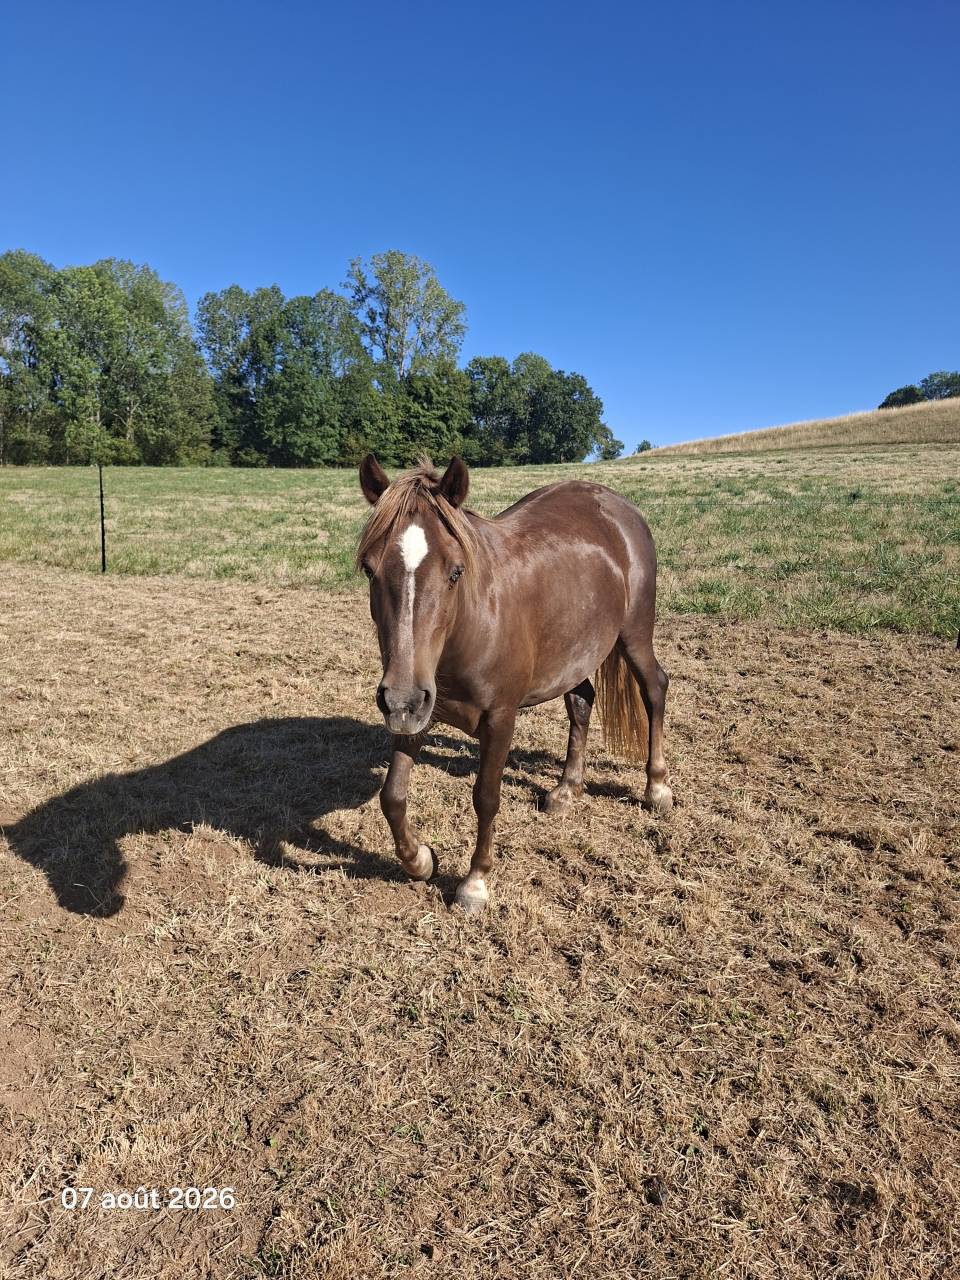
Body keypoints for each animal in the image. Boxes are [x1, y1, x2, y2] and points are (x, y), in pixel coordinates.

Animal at [356, 454, 672, 912]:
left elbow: (486, 797)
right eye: (369, 570)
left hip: (634, 634)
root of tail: (619, 507)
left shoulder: (499, 717)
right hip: (573, 650)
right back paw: (566, 790)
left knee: (654, 689)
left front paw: (475, 884)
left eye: (455, 572)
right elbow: (392, 796)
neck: (471, 626)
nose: (400, 699)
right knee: (582, 701)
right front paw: (420, 860)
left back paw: (658, 788)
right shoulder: (415, 710)